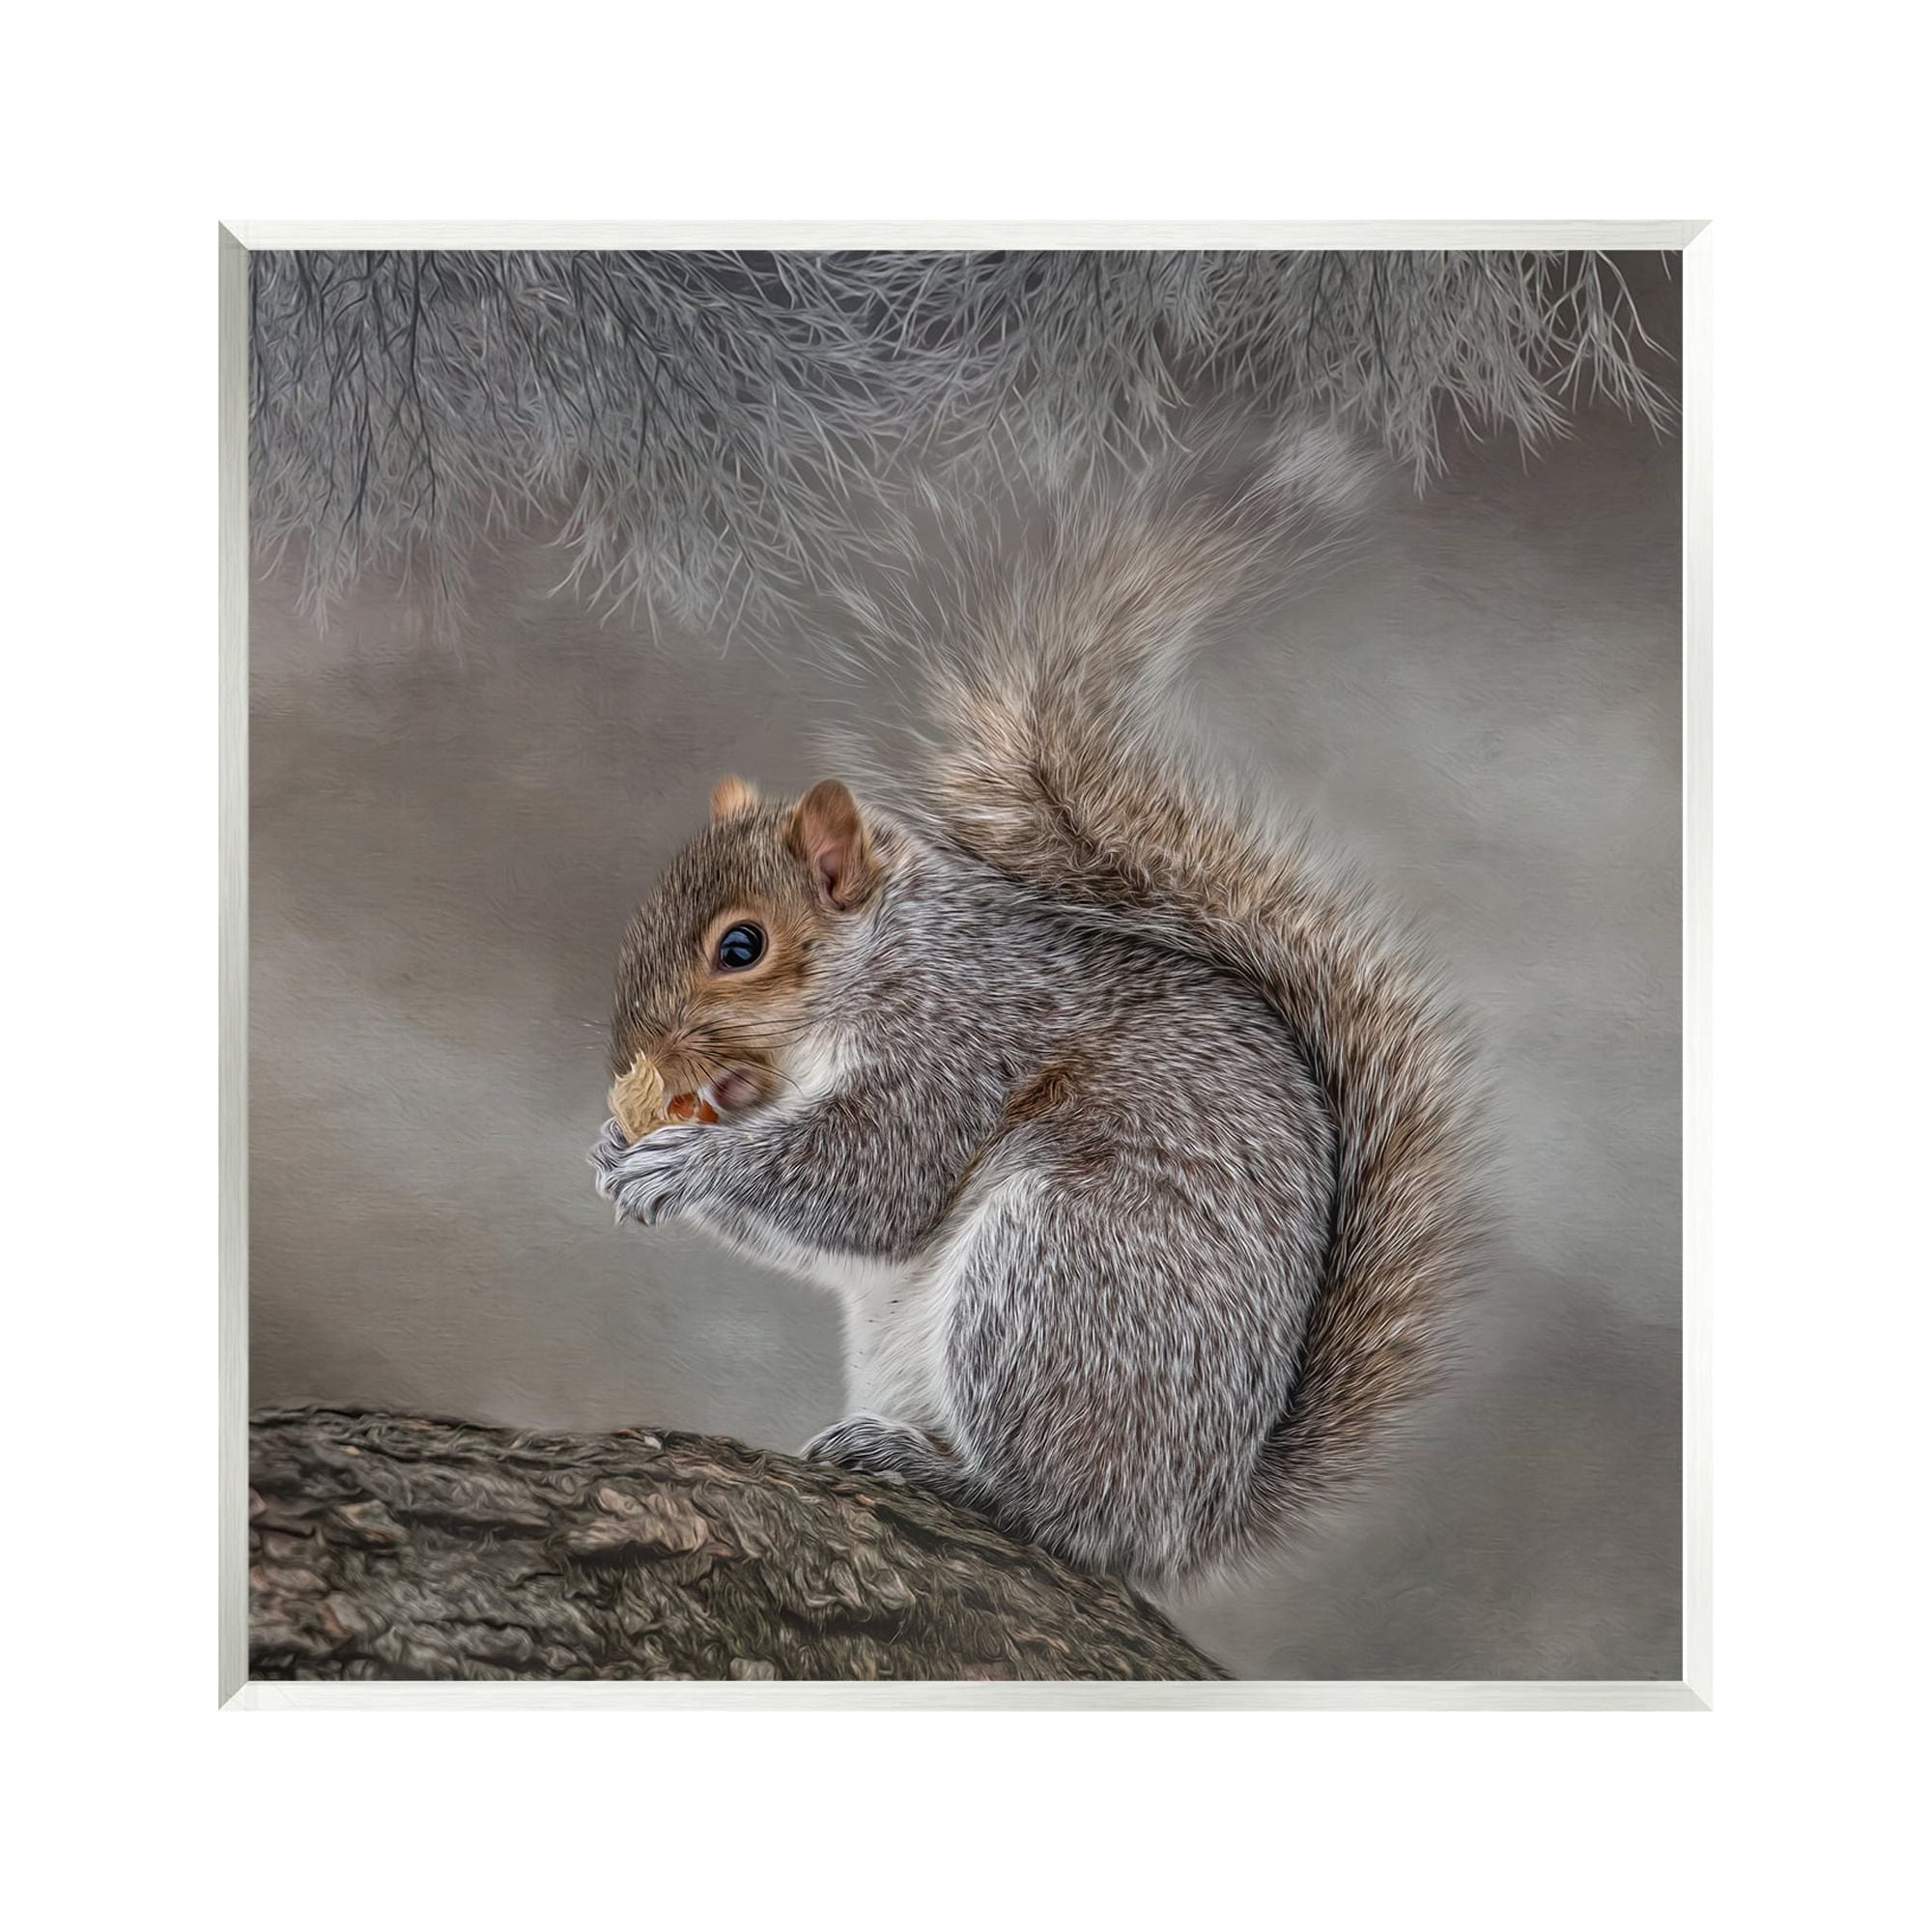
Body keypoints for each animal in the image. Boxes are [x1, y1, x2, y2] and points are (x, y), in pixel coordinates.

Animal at [591, 438, 1483, 1590]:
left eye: (739, 947)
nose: (632, 1055)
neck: (886, 958)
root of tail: (1182, 1517)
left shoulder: (959, 1040)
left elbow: (874, 1182)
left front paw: (685, 1162)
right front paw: (614, 1147)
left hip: (1057, 1281)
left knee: (1054, 1511)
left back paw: (939, 1471)